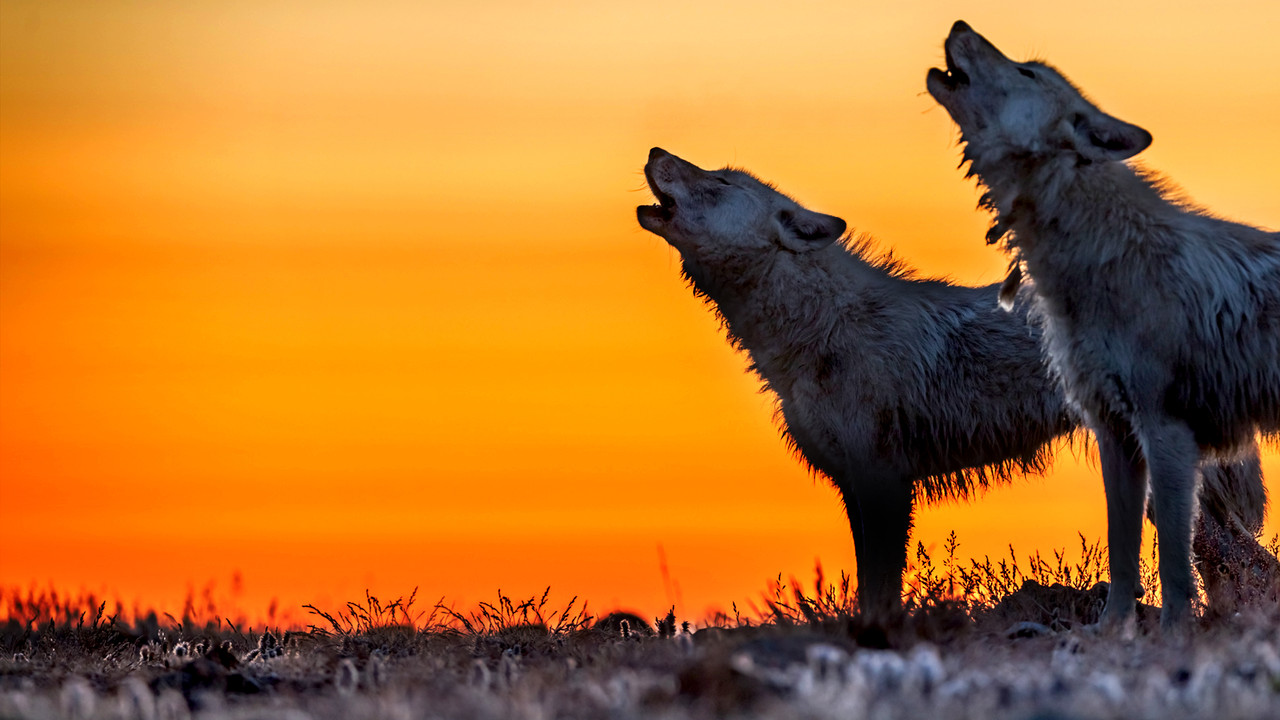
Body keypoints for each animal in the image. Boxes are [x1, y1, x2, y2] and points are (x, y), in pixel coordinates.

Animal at [635, 147, 1269, 623]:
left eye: (717, 181)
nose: (655, 152)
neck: (822, 331)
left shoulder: (884, 481)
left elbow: (880, 588)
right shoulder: (856, 486)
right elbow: (869, 581)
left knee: (1244, 562)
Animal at [927, 21, 1280, 630]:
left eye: (1027, 71)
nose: (958, 25)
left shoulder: (1167, 432)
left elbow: (1173, 562)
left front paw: (1172, 634)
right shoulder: (1115, 435)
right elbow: (1121, 553)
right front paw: (1111, 633)